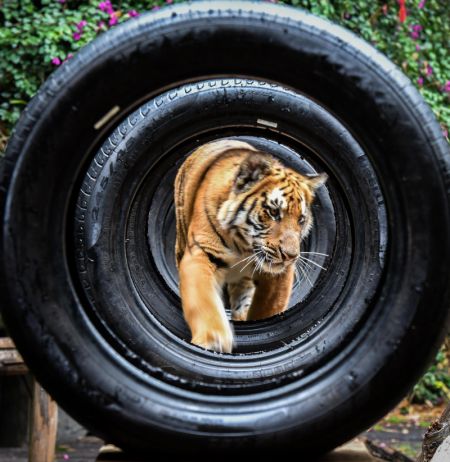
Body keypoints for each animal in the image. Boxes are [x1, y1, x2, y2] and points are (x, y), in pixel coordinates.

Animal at [174, 139, 326, 352]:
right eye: (273, 212)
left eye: (301, 220)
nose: (291, 256)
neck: (243, 247)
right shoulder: (203, 253)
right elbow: (203, 300)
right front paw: (213, 339)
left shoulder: (279, 275)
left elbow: (267, 308)